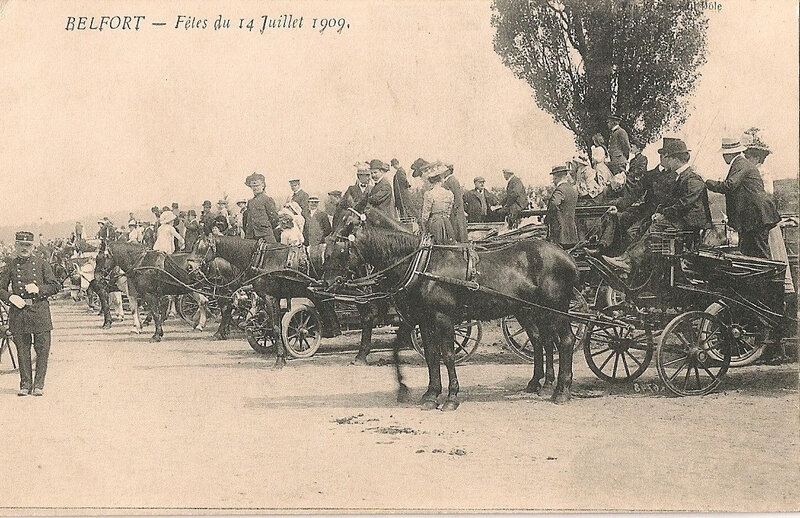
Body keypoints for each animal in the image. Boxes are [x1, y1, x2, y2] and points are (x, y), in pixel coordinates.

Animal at [324, 209, 580, 412]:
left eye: (339, 245)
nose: (326, 283)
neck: (424, 264)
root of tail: (566, 256)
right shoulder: (424, 321)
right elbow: (431, 356)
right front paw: (430, 395)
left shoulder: (443, 319)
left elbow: (447, 355)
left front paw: (451, 397)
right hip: (531, 311)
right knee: (542, 341)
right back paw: (540, 384)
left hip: (556, 309)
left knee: (565, 341)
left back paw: (561, 391)